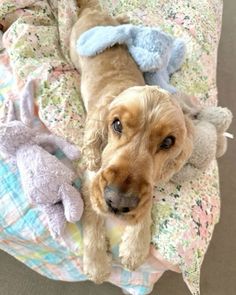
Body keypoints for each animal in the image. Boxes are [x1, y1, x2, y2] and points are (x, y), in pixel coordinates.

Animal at [69, 0, 193, 284]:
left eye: (168, 142)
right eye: (116, 124)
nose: (118, 203)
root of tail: (92, 10)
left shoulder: (148, 185)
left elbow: (147, 203)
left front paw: (136, 247)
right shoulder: (91, 179)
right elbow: (92, 217)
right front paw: (97, 263)